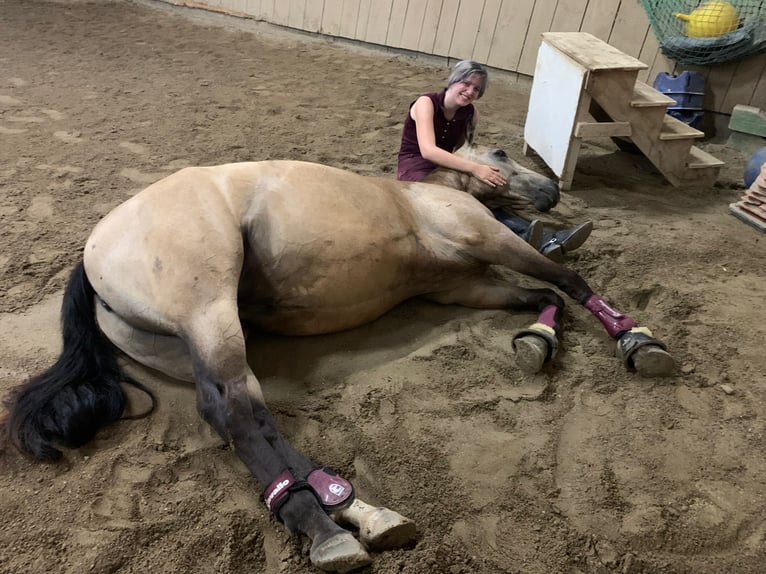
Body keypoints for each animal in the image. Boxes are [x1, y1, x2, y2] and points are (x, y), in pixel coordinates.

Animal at [4, 142, 674, 572]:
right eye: (504, 155)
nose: (553, 188)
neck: (421, 195)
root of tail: (91, 251)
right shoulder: (484, 239)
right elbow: (567, 278)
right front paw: (637, 340)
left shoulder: (467, 285)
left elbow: (545, 296)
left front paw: (540, 340)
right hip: (209, 310)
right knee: (232, 412)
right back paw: (327, 530)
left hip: (185, 343)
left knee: (246, 413)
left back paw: (355, 510)